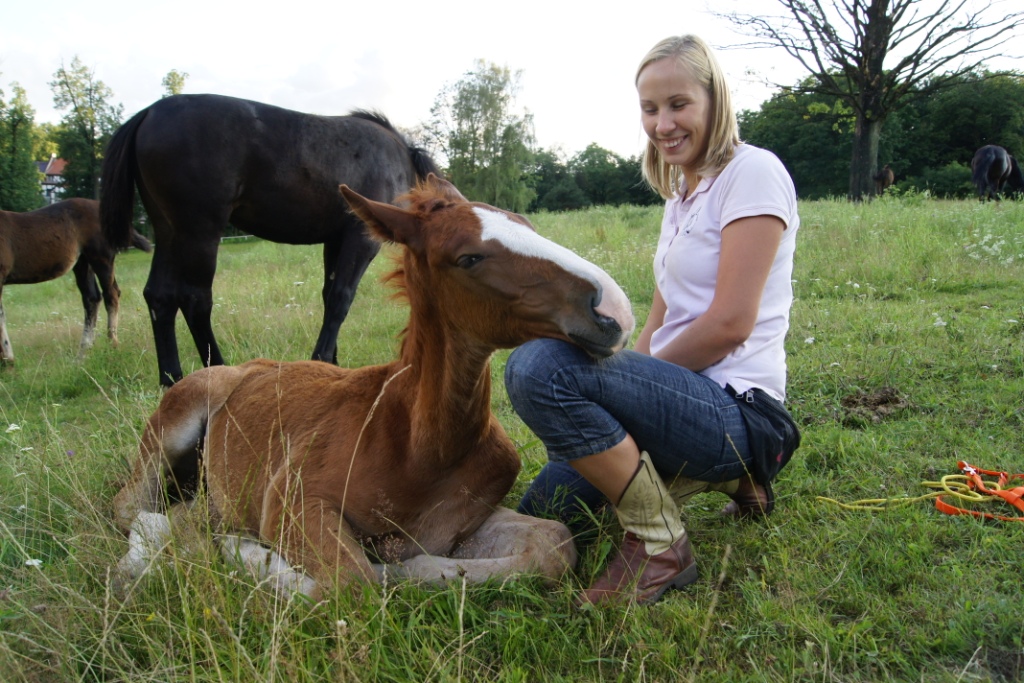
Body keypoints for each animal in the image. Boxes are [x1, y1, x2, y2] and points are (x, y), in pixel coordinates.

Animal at [0, 197, 151, 362]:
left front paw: (8, 360)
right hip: (83, 262)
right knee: (92, 298)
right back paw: (83, 353)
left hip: (101, 257)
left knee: (111, 294)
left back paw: (112, 345)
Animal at [101, 93, 438, 387]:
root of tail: (150, 112)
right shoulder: (360, 239)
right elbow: (341, 298)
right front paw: (321, 359)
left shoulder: (336, 239)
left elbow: (328, 295)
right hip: (199, 232)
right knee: (195, 299)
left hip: (169, 231)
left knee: (160, 296)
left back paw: (171, 378)